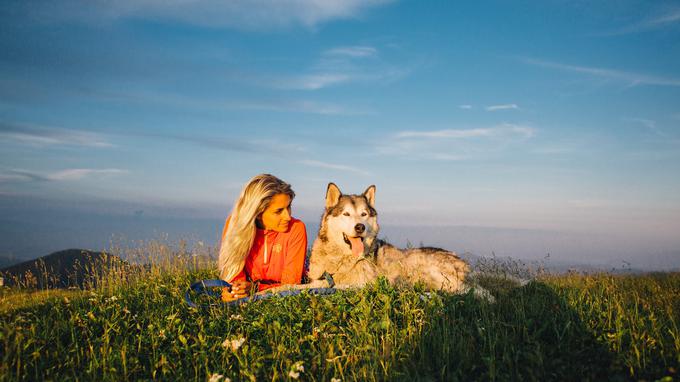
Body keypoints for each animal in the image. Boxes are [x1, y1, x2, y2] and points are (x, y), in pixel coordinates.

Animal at [306, 184, 470, 290]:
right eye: (346, 214)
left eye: (364, 214)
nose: (360, 227)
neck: (340, 259)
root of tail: (464, 264)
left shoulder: (361, 283)